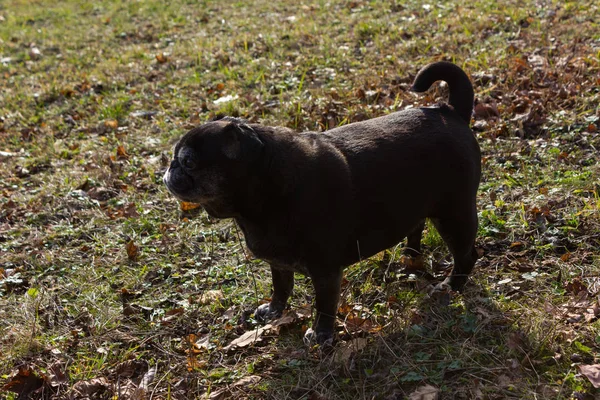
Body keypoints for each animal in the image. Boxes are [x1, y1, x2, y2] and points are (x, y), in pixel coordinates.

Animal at [165, 61, 482, 344]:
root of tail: (450, 112)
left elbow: (324, 306)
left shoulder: (326, 271)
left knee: (466, 256)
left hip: (454, 216)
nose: (170, 168)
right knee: (416, 227)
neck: (265, 194)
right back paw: (409, 255)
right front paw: (274, 311)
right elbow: (281, 287)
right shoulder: (279, 263)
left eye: (188, 162)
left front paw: (322, 335)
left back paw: (451, 286)